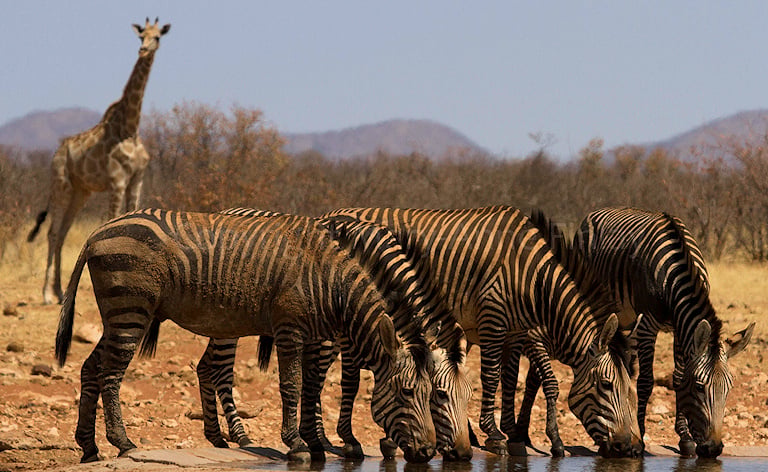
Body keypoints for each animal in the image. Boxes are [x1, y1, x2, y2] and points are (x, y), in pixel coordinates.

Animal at [27, 18, 171, 305]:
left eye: (157, 37)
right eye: (141, 36)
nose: (144, 50)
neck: (130, 128)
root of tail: (58, 151)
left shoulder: (136, 180)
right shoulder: (117, 180)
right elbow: (112, 219)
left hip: (81, 192)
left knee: (62, 233)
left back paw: (59, 291)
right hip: (61, 184)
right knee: (52, 232)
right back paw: (47, 294)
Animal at [54, 209, 438, 463]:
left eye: (430, 393)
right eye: (407, 393)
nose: (429, 451)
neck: (330, 283)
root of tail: (98, 232)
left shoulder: (315, 334)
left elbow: (313, 386)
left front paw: (316, 443)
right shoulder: (289, 327)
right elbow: (293, 386)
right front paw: (297, 444)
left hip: (120, 314)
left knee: (90, 368)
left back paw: (89, 447)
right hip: (130, 309)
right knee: (110, 375)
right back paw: (123, 442)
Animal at [176, 209, 473, 460]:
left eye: (469, 396)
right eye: (440, 395)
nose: (464, 454)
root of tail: (229, 210)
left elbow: (318, 381)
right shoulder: (342, 330)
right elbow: (344, 382)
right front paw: (342, 440)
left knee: (205, 367)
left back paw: (217, 437)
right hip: (226, 322)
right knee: (221, 371)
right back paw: (240, 435)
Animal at [325, 206, 642, 458]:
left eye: (631, 390)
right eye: (606, 385)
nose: (628, 448)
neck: (534, 281)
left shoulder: (517, 332)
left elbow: (512, 380)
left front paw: (513, 434)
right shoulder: (498, 322)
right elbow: (500, 378)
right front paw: (498, 435)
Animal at [563, 206, 754, 458]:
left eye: (729, 388)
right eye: (700, 387)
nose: (713, 449)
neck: (676, 272)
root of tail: (597, 211)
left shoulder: (680, 329)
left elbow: (678, 377)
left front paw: (685, 438)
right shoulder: (648, 325)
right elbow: (646, 382)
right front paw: (641, 437)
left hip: (628, 318)